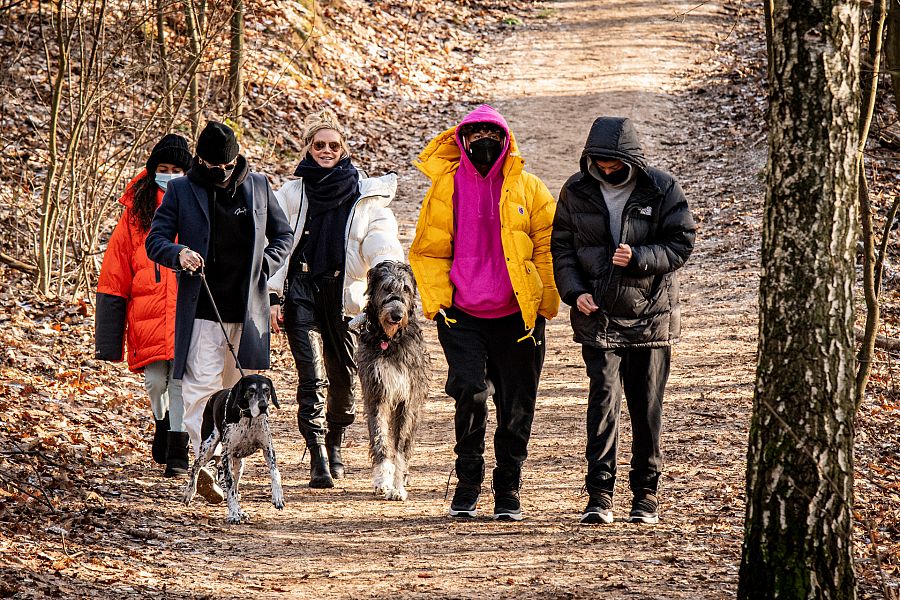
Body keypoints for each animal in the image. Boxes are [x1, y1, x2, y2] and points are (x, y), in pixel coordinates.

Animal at [187, 376, 288, 524]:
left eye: (267, 390)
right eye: (251, 390)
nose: (263, 406)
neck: (249, 418)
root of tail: (213, 396)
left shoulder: (268, 450)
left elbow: (275, 473)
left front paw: (278, 497)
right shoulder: (226, 455)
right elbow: (230, 488)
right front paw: (233, 514)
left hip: (239, 466)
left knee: (235, 485)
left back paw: (241, 512)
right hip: (208, 448)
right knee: (196, 466)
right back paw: (189, 493)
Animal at [354, 260, 430, 500]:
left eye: (405, 288)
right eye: (387, 288)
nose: (396, 315)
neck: (389, 340)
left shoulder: (407, 401)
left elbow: (400, 448)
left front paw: (397, 488)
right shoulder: (376, 394)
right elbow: (381, 440)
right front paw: (382, 481)